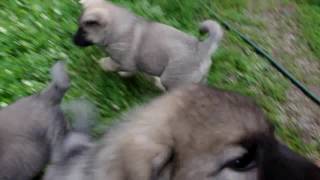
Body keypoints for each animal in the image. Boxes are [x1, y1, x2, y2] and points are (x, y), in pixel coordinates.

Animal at [73, 0, 222, 90]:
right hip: (198, 79)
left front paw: (104, 64)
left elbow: (111, 64)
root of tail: (202, 48)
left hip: (172, 79)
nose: (73, 40)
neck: (116, 28)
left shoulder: (124, 61)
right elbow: (128, 71)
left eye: (83, 31)